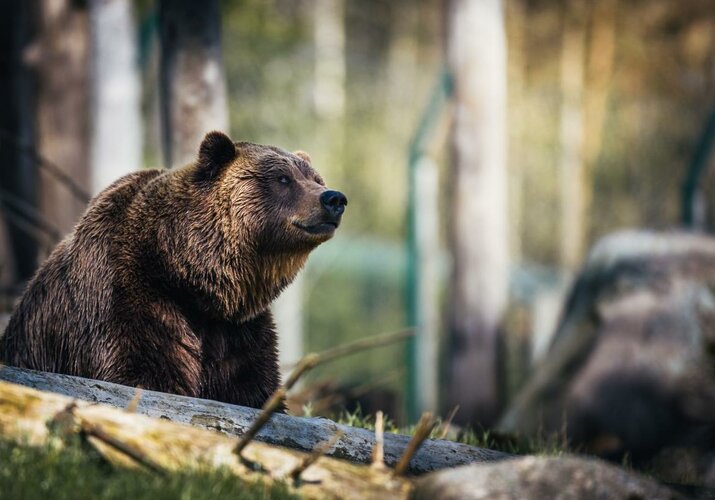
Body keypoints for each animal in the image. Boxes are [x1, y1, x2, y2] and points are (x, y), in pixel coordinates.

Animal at [0, 132, 346, 410]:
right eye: (283, 179)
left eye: (316, 178)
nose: (334, 198)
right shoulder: (126, 299)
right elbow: (143, 372)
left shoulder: (238, 331)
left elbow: (252, 387)